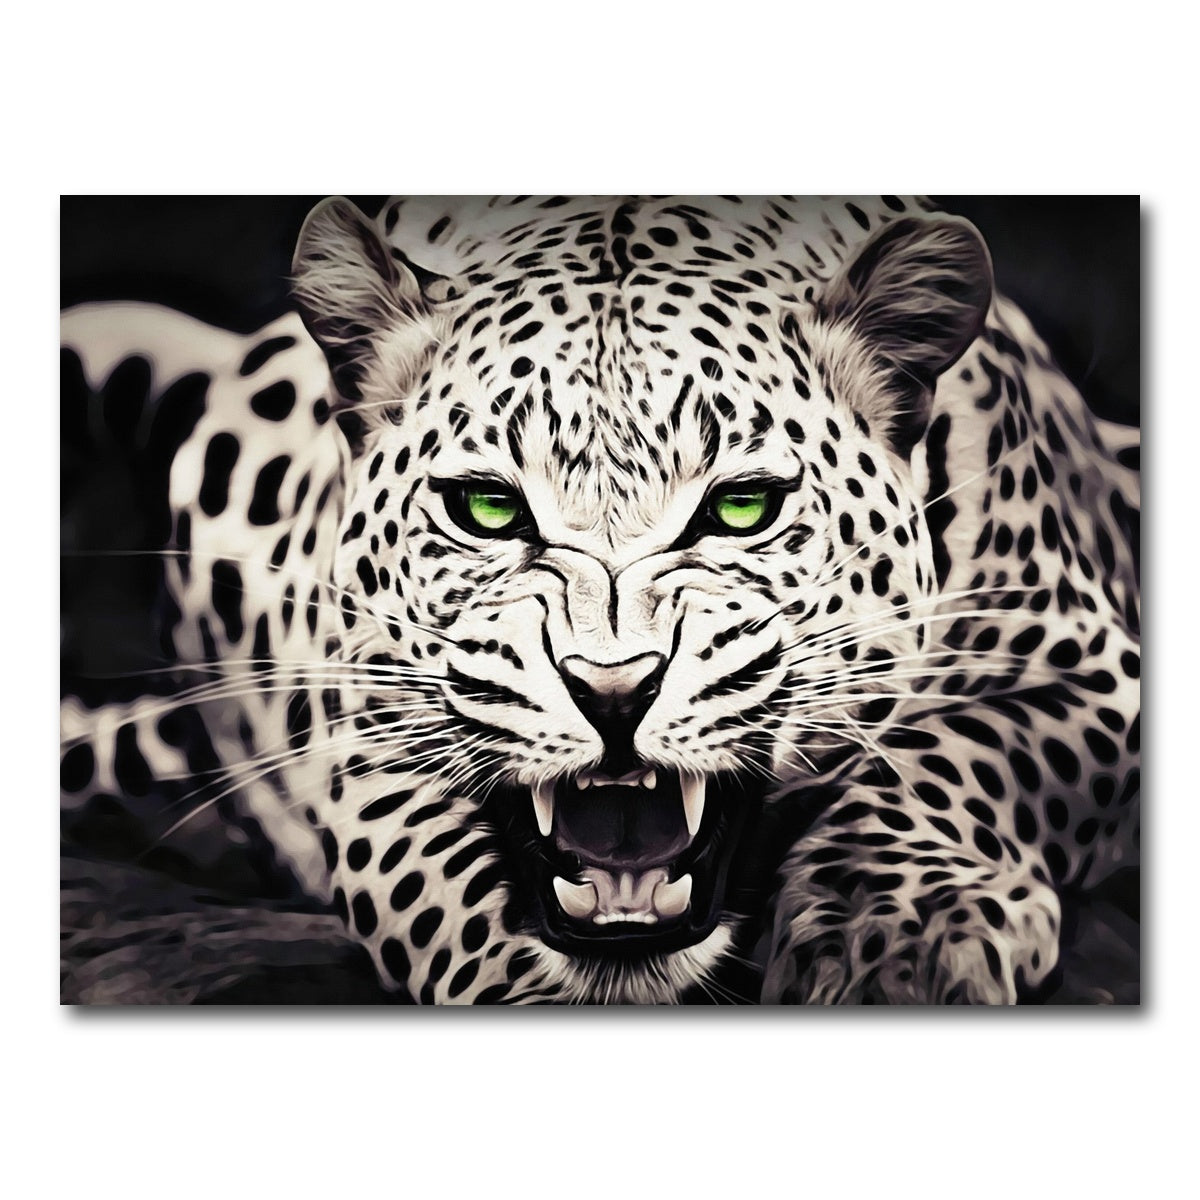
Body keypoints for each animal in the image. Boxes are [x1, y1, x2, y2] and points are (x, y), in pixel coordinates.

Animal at [60, 195, 1141, 1004]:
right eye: (488, 508)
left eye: (741, 507)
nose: (613, 692)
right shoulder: (370, 744)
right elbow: (444, 890)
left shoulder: (1091, 670)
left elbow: (958, 753)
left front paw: (895, 936)